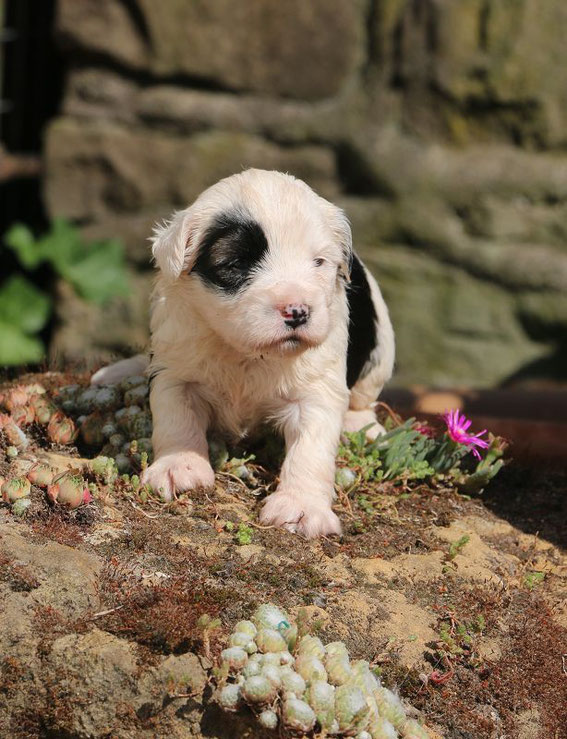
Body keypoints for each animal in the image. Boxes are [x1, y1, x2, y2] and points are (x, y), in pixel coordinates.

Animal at [93, 169, 394, 536]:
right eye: (235, 264)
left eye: (319, 263)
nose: (297, 311)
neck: (246, 352)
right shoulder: (176, 369)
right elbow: (176, 418)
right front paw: (179, 465)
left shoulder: (317, 388)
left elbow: (311, 449)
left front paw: (301, 506)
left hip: (381, 351)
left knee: (364, 396)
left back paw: (362, 424)